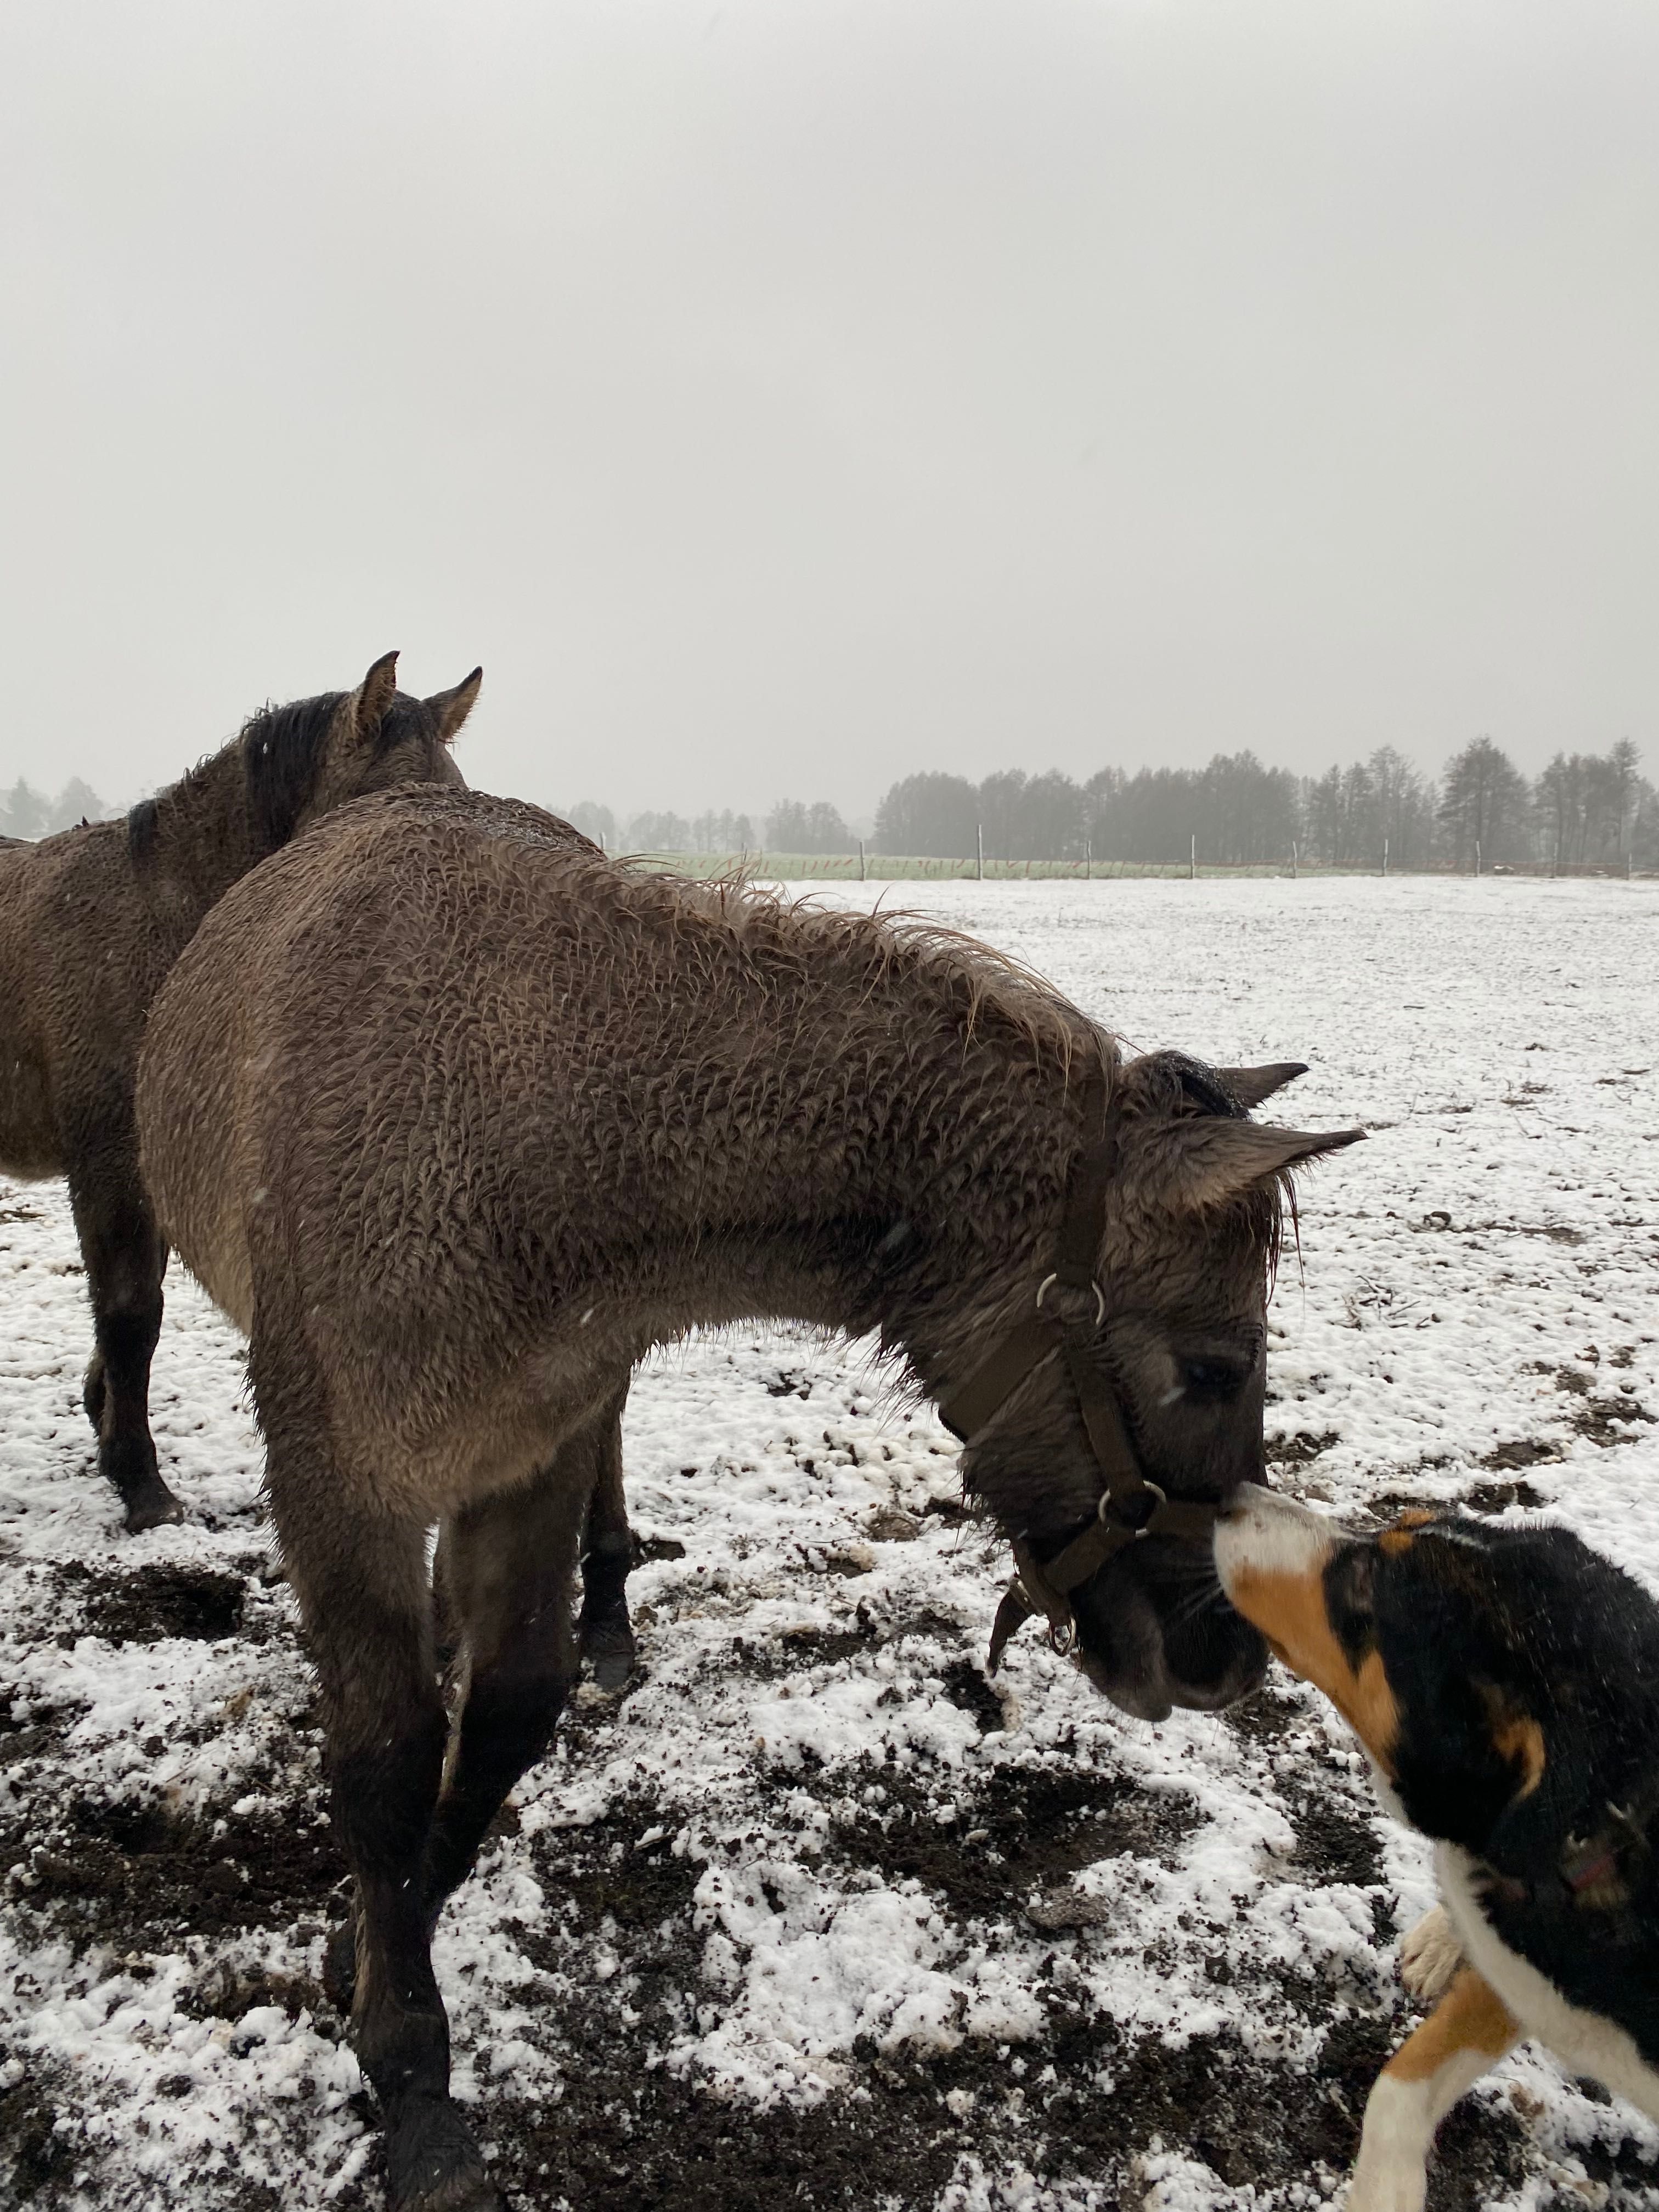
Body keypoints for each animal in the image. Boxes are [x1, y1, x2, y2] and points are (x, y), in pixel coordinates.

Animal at [136, 787, 1362, 2203]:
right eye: (1211, 1368)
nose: (1227, 1656)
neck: (521, 1128)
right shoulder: (339, 1478)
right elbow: (385, 1755)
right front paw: (405, 2061)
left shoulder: (537, 1449)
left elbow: (506, 1711)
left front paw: (376, 1944)